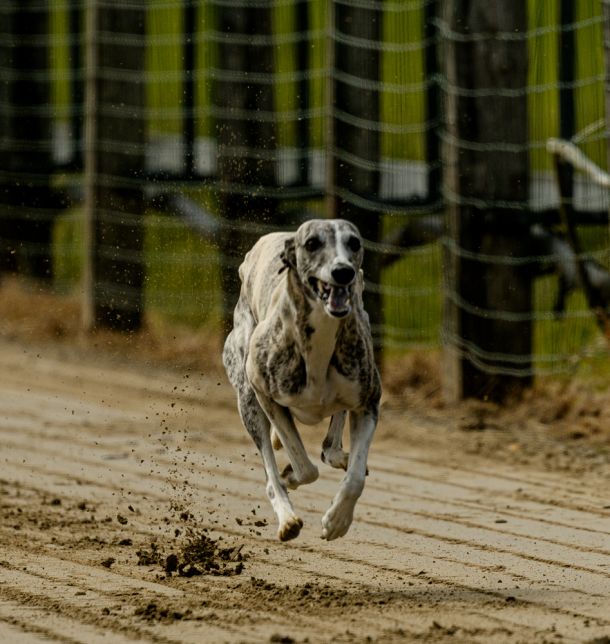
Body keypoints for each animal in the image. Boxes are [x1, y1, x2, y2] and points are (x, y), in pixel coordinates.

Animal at [223, 219, 381, 541]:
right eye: (312, 244)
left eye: (354, 242)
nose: (343, 271)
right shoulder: (265, 396)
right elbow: (305, 468)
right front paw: (290, 478)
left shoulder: (369, 400)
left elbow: (355, 477)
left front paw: (337, 521)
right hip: (247, 398)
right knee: (271, 469)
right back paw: (287, 519)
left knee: (331, 445)